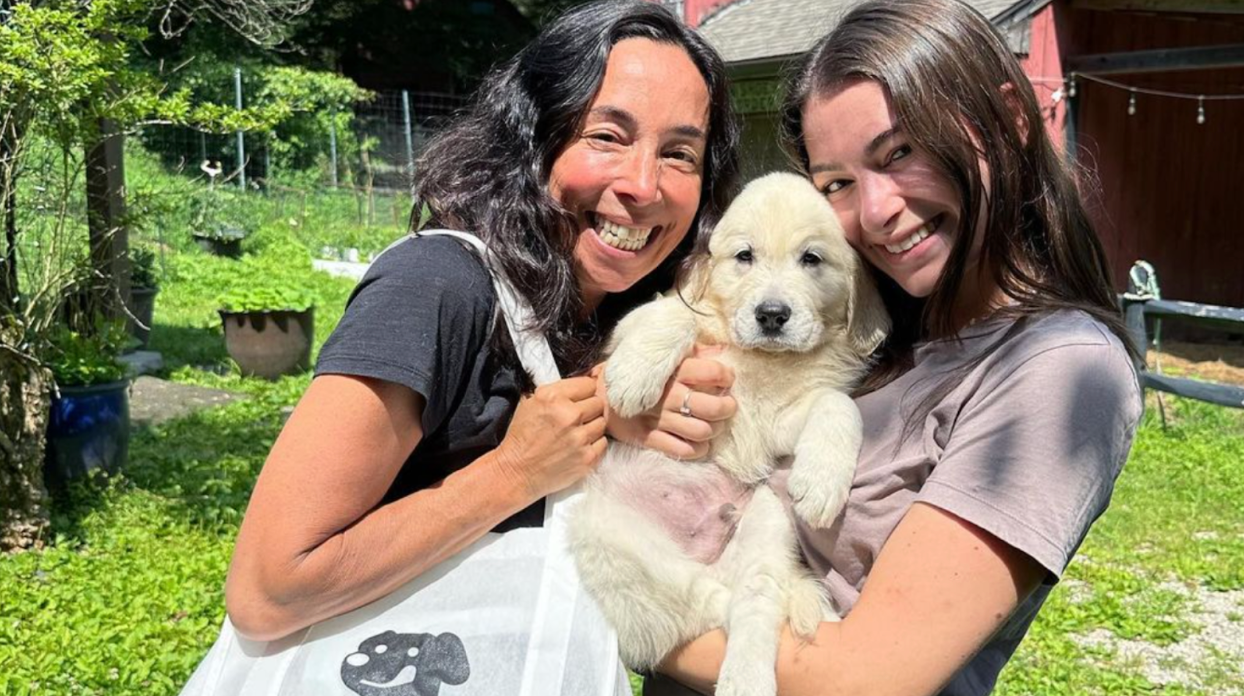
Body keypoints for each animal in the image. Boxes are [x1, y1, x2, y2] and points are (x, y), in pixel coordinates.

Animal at [569, 173, 890, 696]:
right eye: (745, 256)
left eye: (811, 259)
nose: (772, 314)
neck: (763, 360)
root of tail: (706, 555)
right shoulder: (636, 326)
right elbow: (674, 315)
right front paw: (635, 377)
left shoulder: (777, 422)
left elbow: (835, 402)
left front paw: (822, 481)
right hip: (610, 538)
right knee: (700, 602)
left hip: (767, 519)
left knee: (754, 599)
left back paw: (748, 676)